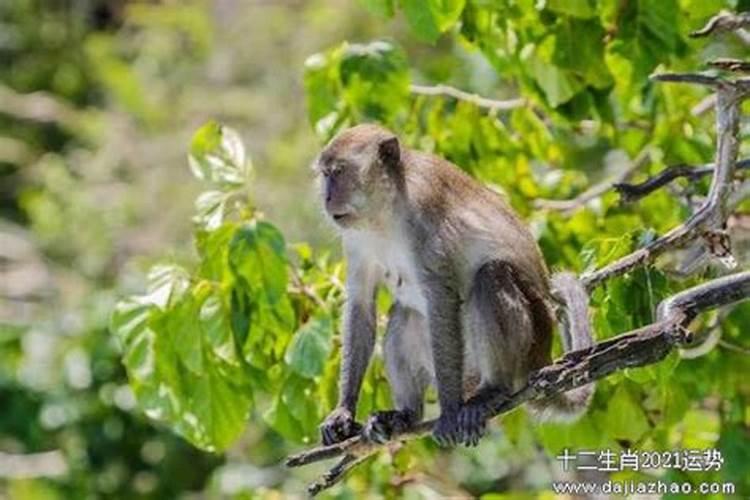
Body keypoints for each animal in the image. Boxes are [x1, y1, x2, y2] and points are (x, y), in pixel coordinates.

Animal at [314, 123, 596, 448]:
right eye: (326, 174)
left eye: (339, 172)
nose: (327, 198)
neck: (384, 212)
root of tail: (542, 358)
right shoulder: (356, 238)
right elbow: (361, 304)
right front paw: (343, 412)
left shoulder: (423, 216)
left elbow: (442, 299)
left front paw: (448, 411)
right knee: (405, 314)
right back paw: (406, 415)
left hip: (528, 342)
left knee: (491, 276)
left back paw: (493, 390)